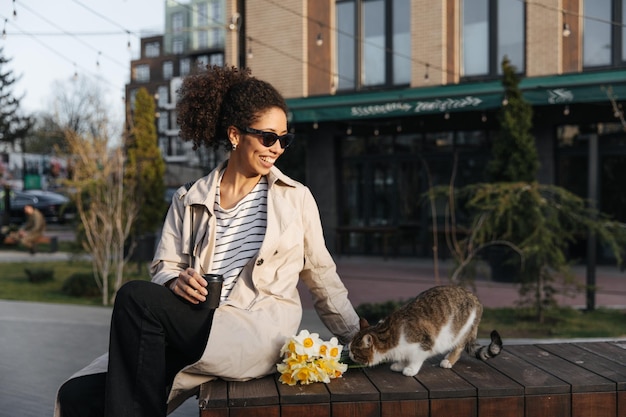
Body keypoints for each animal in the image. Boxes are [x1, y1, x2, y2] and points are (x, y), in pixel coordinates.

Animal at [348, 284, 500, 376]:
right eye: (349, 349)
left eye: (354, 351)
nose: (349, 354)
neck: (390, 334)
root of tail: (475, 298)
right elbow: (404, 356)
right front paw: (400, 364)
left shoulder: (424, 343)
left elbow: (416, 358)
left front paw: (410, 369)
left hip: (461, 330)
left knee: (458, 347)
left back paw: (448, 360)